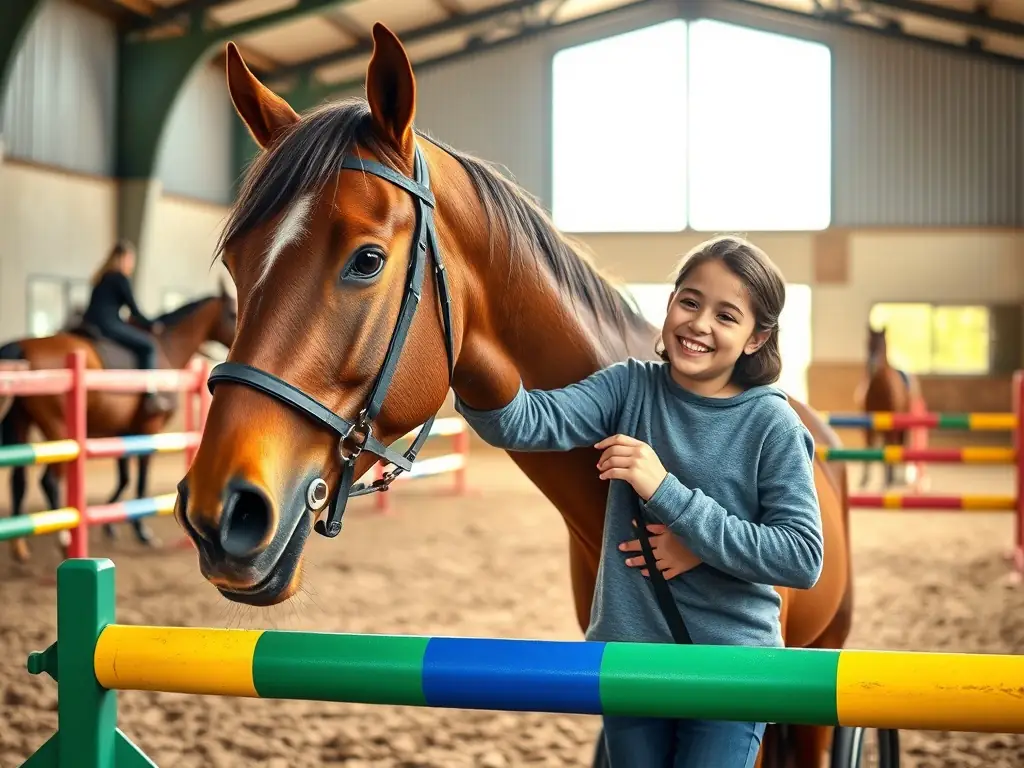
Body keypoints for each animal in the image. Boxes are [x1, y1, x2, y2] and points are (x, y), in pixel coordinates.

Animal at [0, 282, 236, 562]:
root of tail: (23, 347)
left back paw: (19, 547)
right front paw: (142, 532)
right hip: (57, 431)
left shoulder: (125, 431)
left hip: (21, 423)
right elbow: (141, 480)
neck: (167, 348)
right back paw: (64, 540)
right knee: (49, 481)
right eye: (233, 312)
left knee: (18, 481)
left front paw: (110, 526)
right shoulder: (148, 429)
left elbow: (123, 477)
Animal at [855, 325, 922, 489]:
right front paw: (864, 479)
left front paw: (887, 480)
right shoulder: (869, 424)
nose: (871, 366)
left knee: (896, 445)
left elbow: (888, 448)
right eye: (867, 343)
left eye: (882, 345)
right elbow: (869, 446)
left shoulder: (890, 424)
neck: (880, 390)